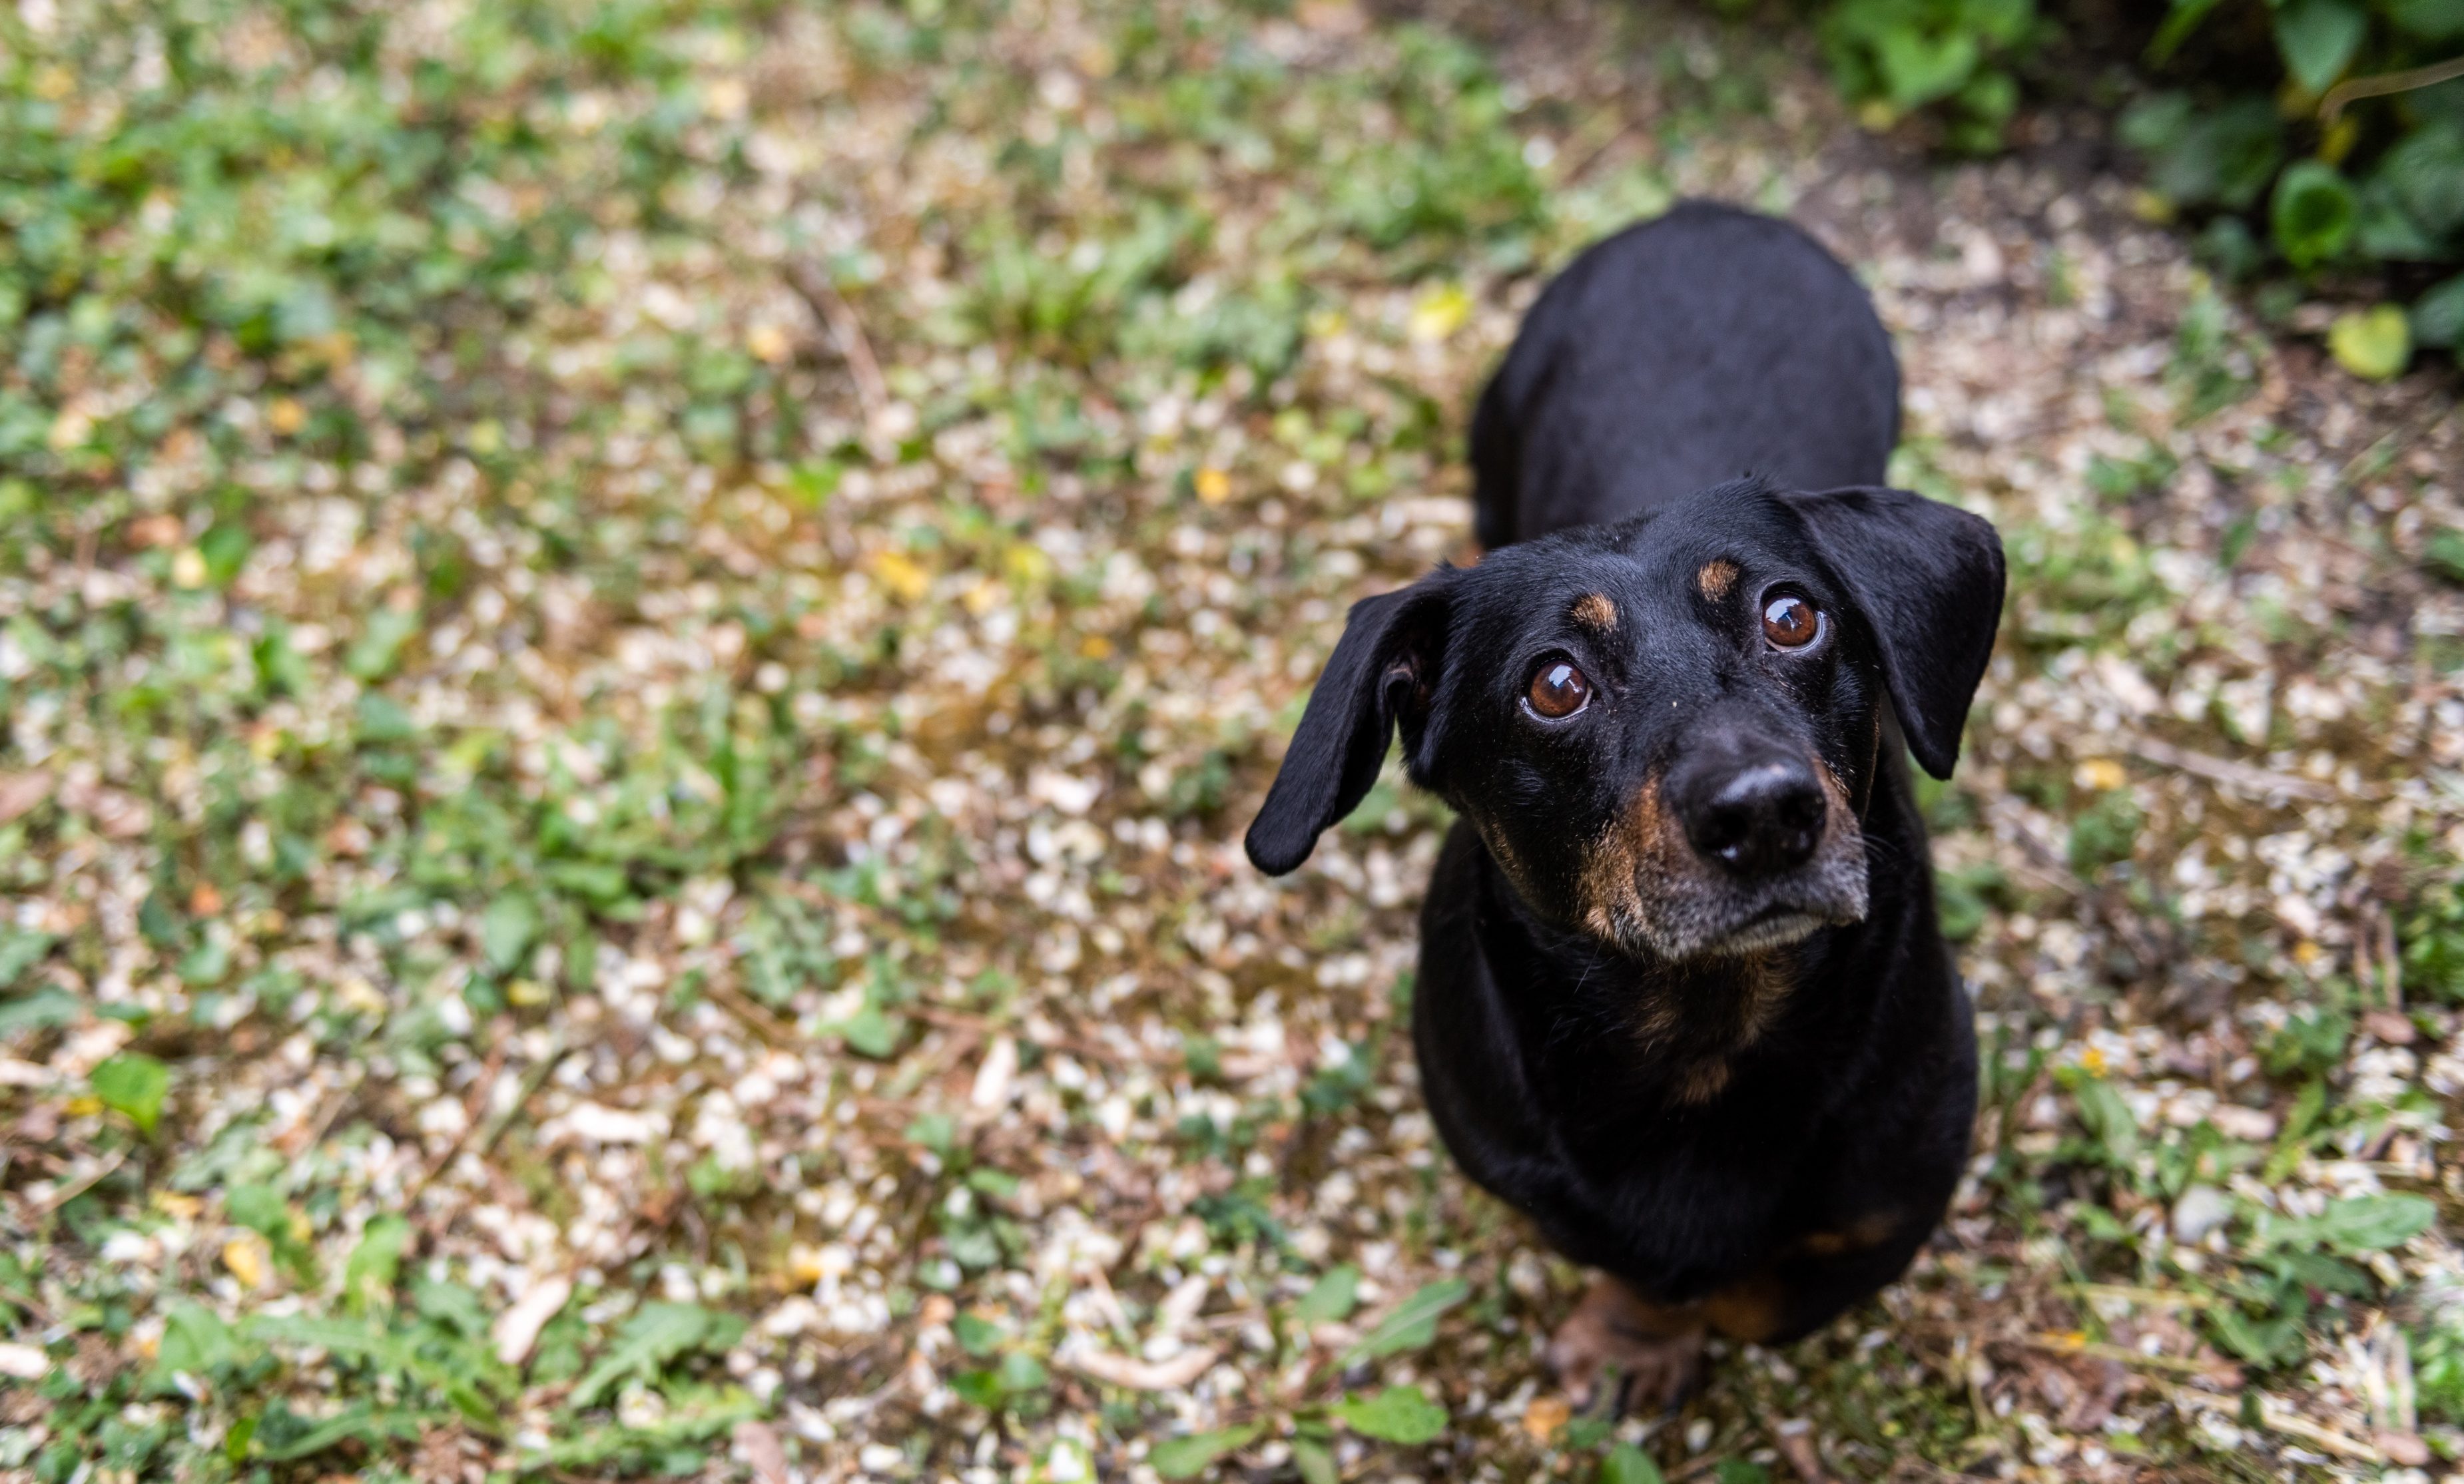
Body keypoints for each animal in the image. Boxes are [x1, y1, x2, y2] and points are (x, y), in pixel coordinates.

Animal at [1251, 202, 2001, 1400]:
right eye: (1553, 684)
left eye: (1793, 616)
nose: (1765, 814)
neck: (1703, 1036)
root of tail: (1706, 214)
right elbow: (1644, 1260)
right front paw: (1632, 1326)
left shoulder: (1891, 1205)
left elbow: (1751, 1288)